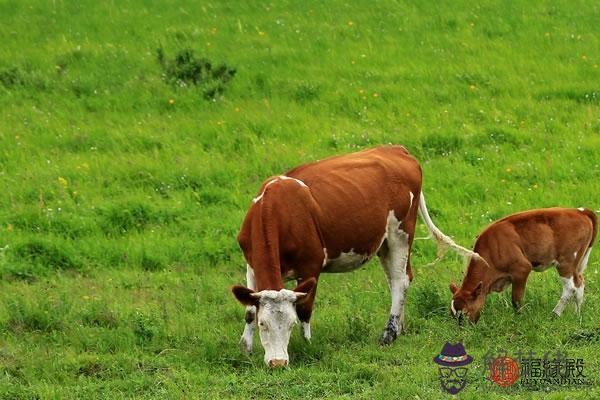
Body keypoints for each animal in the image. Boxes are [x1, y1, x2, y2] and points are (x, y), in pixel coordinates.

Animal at [232, 145, 476, 368]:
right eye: (263, 324)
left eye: (290, 325)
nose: (278, 363)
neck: (276, 210)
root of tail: (397, 149)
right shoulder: (251, 266)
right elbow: (249, 310)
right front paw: (246, 348)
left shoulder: (311, 266)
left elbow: (305, 309)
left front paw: (307, 345)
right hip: (384, 242)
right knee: (397, 278)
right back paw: (400, 326)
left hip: (401, 232)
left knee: (400, 280)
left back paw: (389, 334)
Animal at [450, 208, 596, 324]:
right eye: (452, 315)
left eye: (464, 313)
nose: (464, 331)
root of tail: (579, 211)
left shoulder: (522, 268)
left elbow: (516, 299)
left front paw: (519, 318)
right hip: (576, 265)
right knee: (579, 284)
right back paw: (576, 314)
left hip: (566, 262)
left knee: (571, 288)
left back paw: (555, 314)